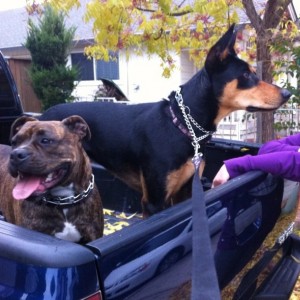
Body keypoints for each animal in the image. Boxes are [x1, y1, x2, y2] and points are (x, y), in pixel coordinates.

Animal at [39, 24, 290, 216]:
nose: (287, 94)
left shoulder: (186, 191)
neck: (181, 126)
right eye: (246, 75)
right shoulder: (153, 200)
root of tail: (40, 117)